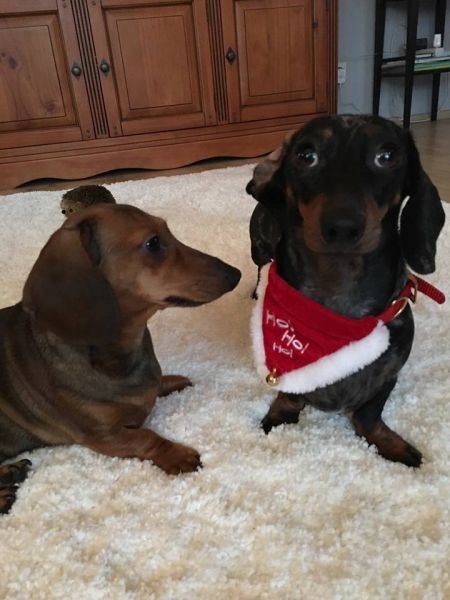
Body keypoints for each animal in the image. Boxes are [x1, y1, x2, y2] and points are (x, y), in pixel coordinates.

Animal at [0, 203, 241, 513]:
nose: (235, 274)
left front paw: (172, 381)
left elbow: (154, 387)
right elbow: (145, 437)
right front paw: (177, 454)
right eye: (153, 243)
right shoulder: (101, 435)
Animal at [247, 114, 445, 467]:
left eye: (387, 155)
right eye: (306, 155)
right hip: (260, 242)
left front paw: (391, 444)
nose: (342, 227)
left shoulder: (389, 374)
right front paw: (278, 418)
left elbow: (368, 413)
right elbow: (289, 395)